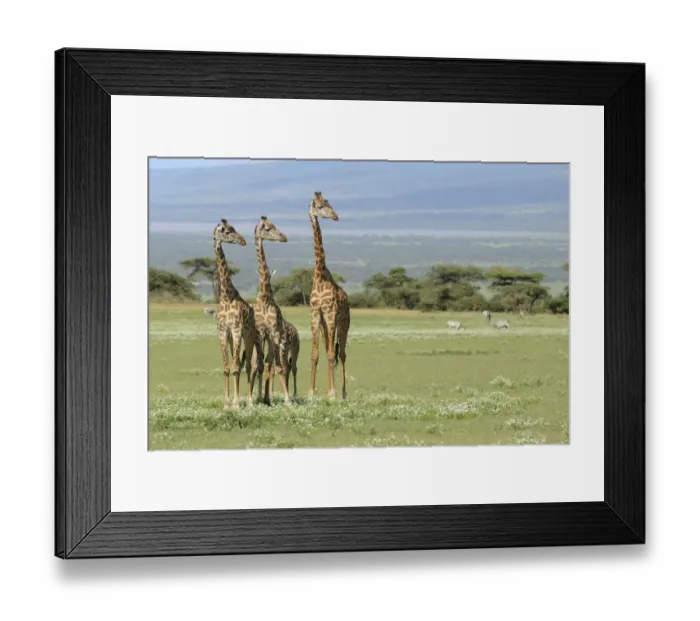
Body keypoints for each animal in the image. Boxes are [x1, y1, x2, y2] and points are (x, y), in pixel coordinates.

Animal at [212, 219, 262, 409]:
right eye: (226, 231)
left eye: (234, 228)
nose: (242, 241)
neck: (226, 296)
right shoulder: (223, 332)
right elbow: (227, 368)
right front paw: (226, 404)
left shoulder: (236, 329)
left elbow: (235, 367)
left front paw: (235, 404)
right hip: (233, 338)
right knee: (239, 365)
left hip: (248, 336)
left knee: (248, 365)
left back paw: (248, 402)